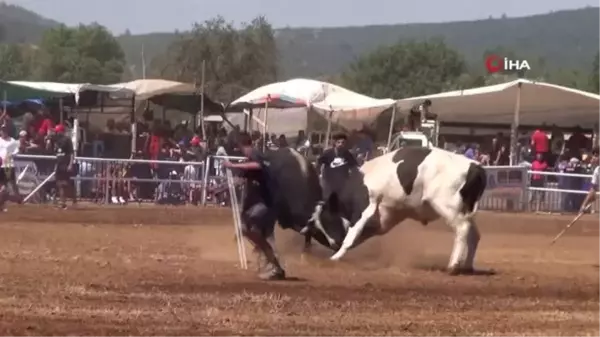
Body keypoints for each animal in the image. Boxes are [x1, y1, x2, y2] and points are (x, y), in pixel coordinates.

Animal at [314, 146, 488, 274]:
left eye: (328, 220)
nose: (333, 244)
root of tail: (475, 166)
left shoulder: (365, 209)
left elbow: (350, 237)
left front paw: (335, 257)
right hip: (465, 211)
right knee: (474, 235)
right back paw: (467, 266)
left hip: (448, 208)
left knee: (462, 230)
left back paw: (453, 266)